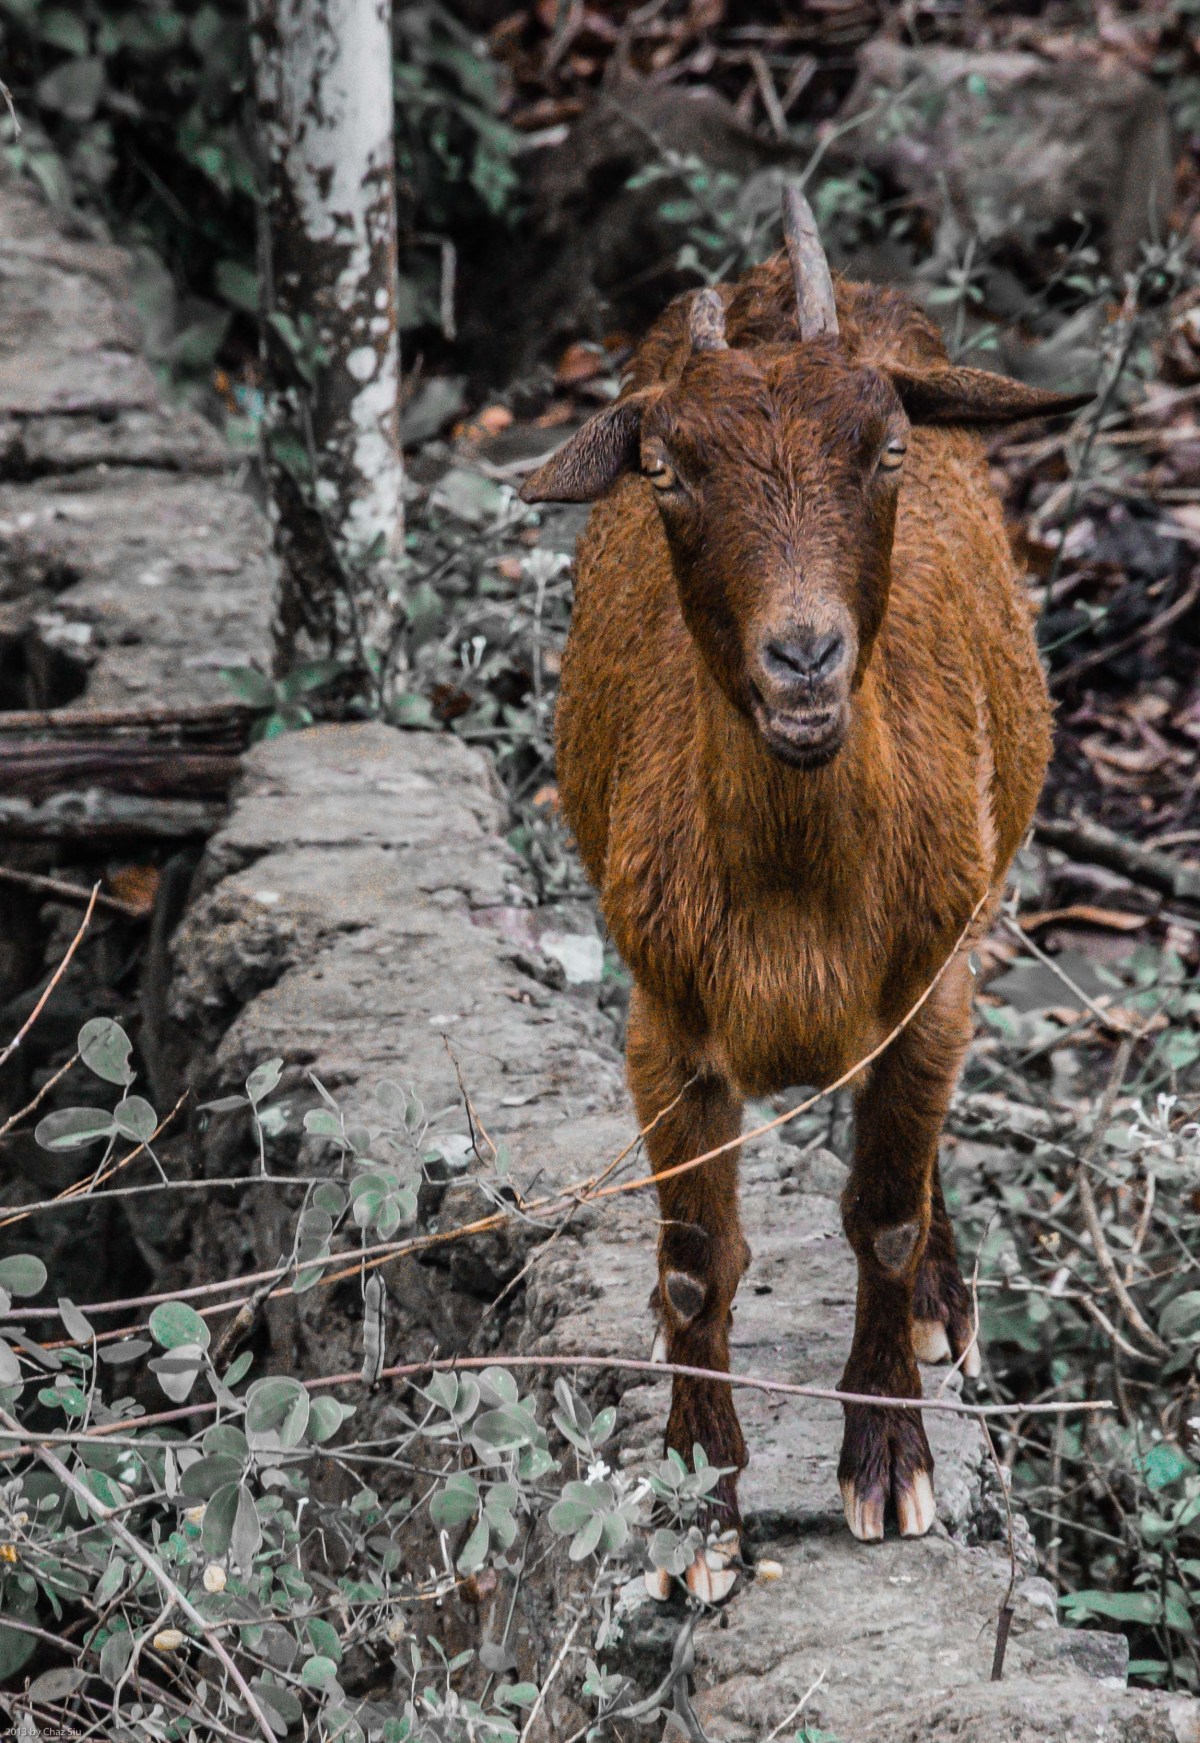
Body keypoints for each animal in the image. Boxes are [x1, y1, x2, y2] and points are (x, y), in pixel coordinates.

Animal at [520, 190, 1086, 1596]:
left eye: (887, 448)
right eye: (664, 471)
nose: (805, 657)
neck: (796, 901)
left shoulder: (928, 996)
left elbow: (880, 1219)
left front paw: (887, 1460)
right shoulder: (666, 1030)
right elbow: (692, 1268)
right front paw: (696, 1503)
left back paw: (944, 1299)